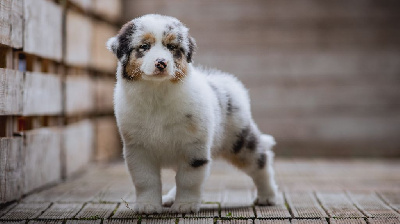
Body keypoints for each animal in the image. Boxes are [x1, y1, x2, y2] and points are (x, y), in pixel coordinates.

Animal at [106, 14, 278, 214]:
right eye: (144, 46)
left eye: (172, 47)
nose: (161, 63)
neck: (157, 93)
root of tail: (228, 82)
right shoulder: (138, 149)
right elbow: (145, 179)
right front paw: (148, 205)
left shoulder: (194, 147)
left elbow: (188, 179)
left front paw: (185, 205)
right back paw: (169, 198)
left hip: (239, 140)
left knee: (261, 161)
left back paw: (268, 196)